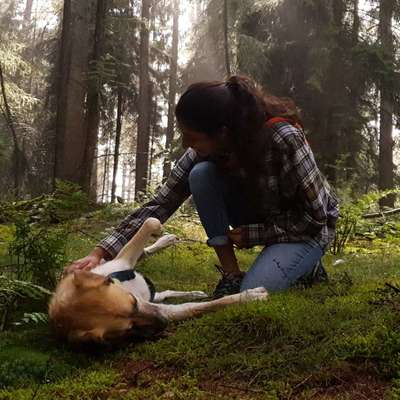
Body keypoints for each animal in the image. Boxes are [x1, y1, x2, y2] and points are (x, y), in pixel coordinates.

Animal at [49, 217, 268, 346]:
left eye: (133, 302)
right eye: (128, 329)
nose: (163, 321)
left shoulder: (123, 260)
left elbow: (149, 221)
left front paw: (159, 231)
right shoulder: (159, 308)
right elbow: (206, 305)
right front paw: (251, 296)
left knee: (144, 251)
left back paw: (165, 240)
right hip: (157, 299)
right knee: (164, 294)